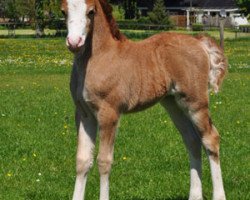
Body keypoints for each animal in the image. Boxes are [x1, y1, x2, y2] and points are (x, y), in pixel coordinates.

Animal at [61, 0, 228, 200]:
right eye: (63, 12)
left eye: (91, 12)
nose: (74, 42)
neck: (99, 57)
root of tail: (198, 41)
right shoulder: (84, 114)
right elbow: (82, 160)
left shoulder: (109, 113)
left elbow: (104, 161)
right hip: (174, 104)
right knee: (192, 140)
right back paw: (194, 195)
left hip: (195, 102)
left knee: (210, 138)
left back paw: (219, 195)